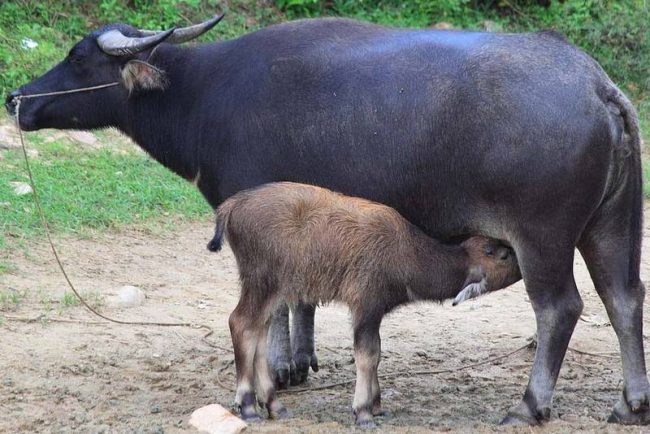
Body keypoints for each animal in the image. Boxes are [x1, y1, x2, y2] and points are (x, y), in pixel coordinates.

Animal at [5, 16, 644, 424]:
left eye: (79, 57)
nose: (17, 98)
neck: (203, 94)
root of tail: (597, 85)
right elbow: (302, 298)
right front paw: (301, 362)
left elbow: (277, 308)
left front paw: (278, 370)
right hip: (612, 224)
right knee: (624, 298)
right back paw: (629, 403)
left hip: (542, 237)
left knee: (560, 308)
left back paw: (530, 405)